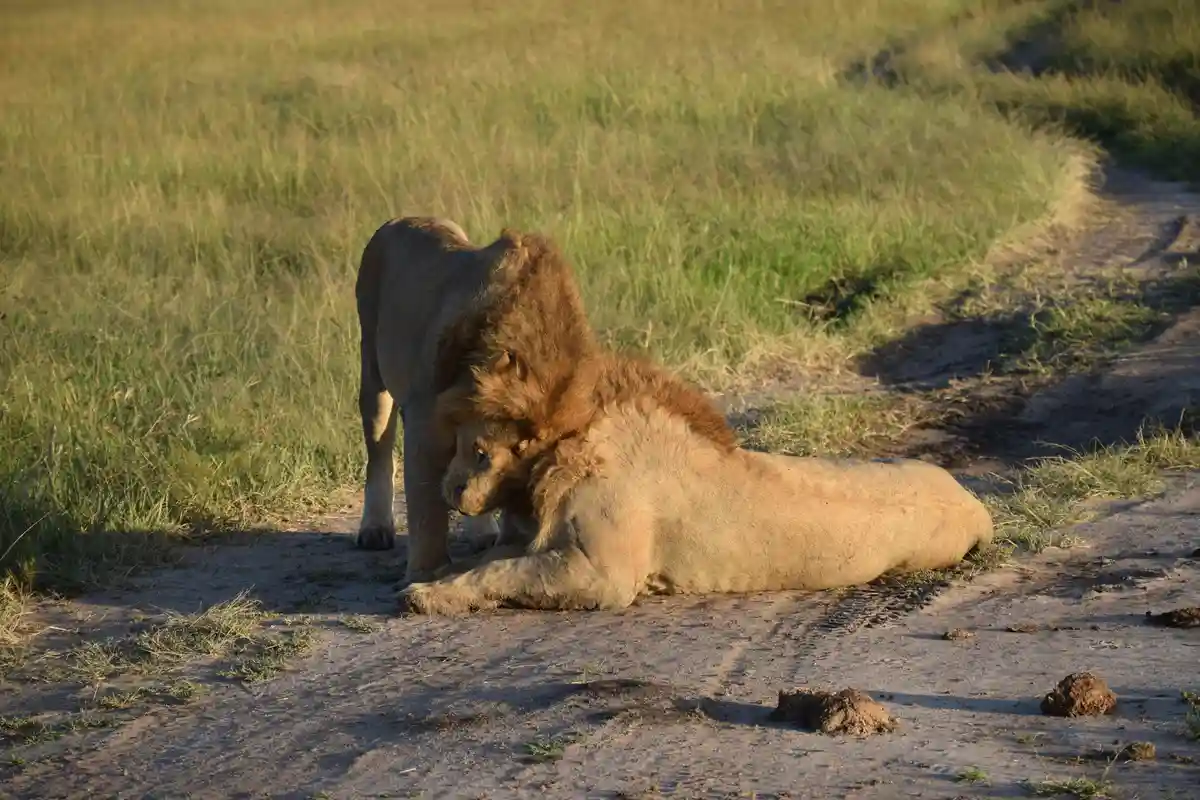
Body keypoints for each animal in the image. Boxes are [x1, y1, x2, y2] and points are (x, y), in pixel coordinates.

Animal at [354, 217, 600, 582]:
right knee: (379, 451)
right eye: (480, 452)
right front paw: (425, 574)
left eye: (520, 486)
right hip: (372, 369)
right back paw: (375, 529)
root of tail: (396, 220)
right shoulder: (424, 425)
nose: (463, 502)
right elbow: (426, 511)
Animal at [399, 399, 995, 614]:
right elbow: (490, 562)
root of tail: (976, 505)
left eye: (475, 451)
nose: (449, 490)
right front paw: (433, 578)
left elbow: (502, 572)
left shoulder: (602, 574)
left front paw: (424, 596)